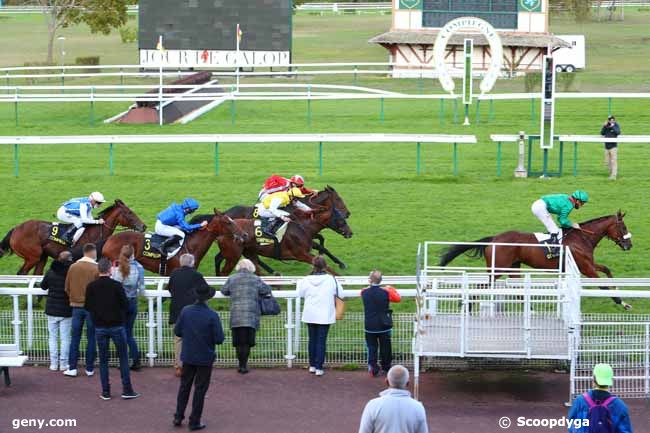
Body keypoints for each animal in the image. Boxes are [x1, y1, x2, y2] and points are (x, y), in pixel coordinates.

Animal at [0, 199, 146, 274]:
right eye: (129, 212)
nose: (143, 226)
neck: (95, 232)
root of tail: (16, 229)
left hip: (42, 256)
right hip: (32, 256)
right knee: (22, 273)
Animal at [208, 187, 352, 276]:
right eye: (338, 199)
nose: (348, 214)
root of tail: (225, 213)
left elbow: (321, 242)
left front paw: (337, 262)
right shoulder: (302, 254)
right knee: (219, 258)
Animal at [438, 211, 632, 308]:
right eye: (623, 227)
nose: (629, 245)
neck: (581, 238)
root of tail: (493, 239)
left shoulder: (589, 264)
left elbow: (607, 269)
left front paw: (619, 292)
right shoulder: (586, 268)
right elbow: (603, 286)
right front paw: (622, 302)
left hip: (513, 267)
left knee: (518, 291)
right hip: (497, 269)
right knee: (479, 287)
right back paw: (468, 307)